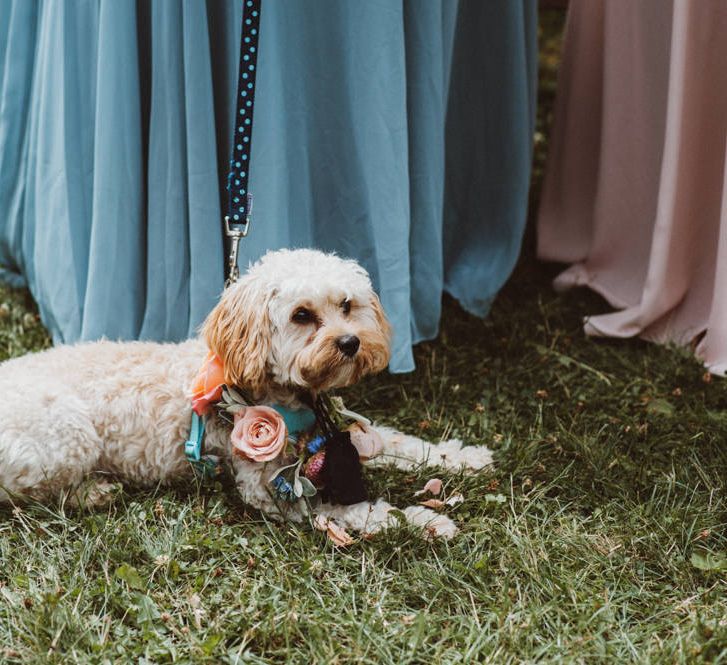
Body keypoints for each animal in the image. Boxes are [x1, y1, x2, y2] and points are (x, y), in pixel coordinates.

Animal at [0, 249, 494, 540]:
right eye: (301, 315)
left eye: (347, 305)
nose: (351, 342)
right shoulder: (272, 491)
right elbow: (360, 511)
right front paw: (425, 521)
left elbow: (402, 443)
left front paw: (464, 457)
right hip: (68, 435)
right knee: (28, 495)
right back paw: (93, 493)